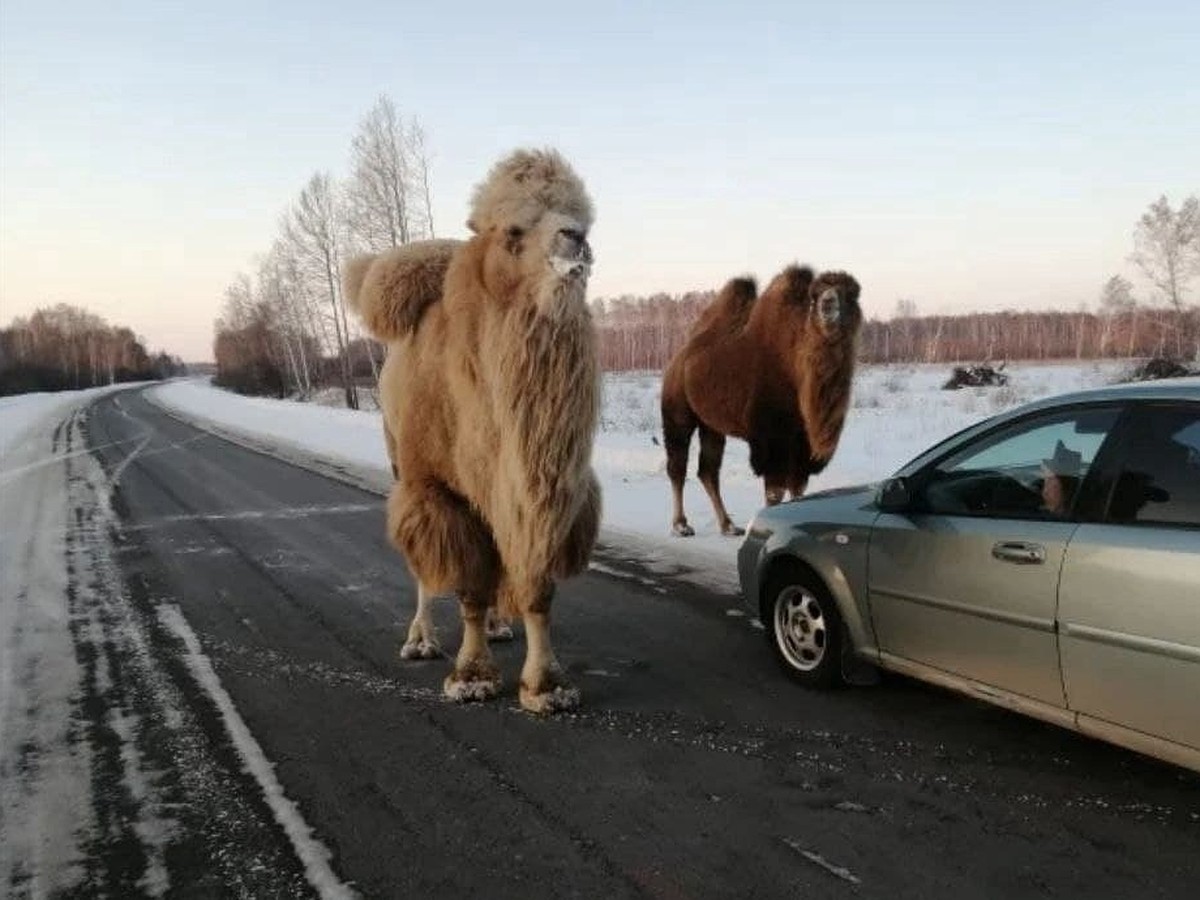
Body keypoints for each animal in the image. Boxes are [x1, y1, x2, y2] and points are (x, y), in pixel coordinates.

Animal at [343, 148, 604, 715]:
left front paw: (547, 685)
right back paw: (420, 640)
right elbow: (466, 588)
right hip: (403, 467)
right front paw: (471, 677)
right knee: (425, 568)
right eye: (513, 231)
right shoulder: (443, 490)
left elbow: (536, 587)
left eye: (583, 217)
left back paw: (501, 625)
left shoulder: (546, 493)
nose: (574, 238)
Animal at [662, 264, 859, 540]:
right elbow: (775, 493)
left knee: (708, 471)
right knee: (677, 466)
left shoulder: (802, 445)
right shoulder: (773, 440)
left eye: (851, 294)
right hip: (677, 411)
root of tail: (679, 357)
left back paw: (728, 525)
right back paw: (681, 525)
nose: (828, 304)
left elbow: (798, 491)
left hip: (711, 425)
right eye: (815, 296)